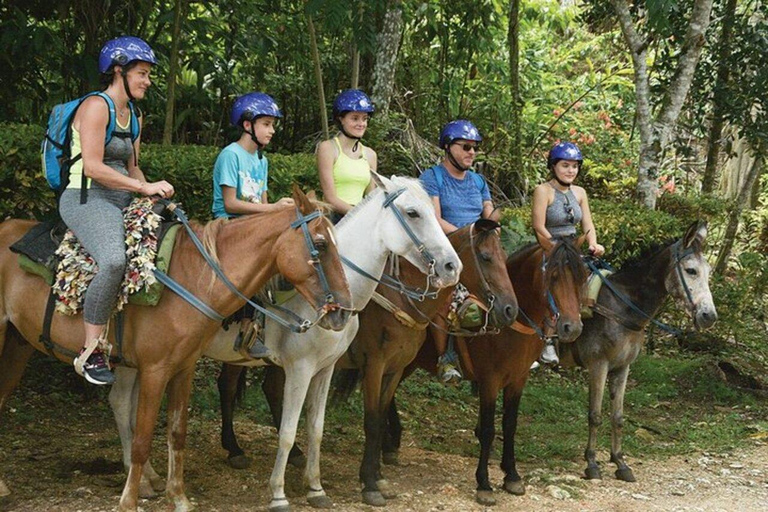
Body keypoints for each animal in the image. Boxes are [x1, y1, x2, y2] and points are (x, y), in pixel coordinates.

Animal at [0, 186, 352, 510]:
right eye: (321, 245)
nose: (343, 312)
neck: (195, 277)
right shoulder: (155, 371)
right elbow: (143, 439)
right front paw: (128, 501)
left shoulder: (184, 368)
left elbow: (177, 432)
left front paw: (178, 497)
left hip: (18, 346)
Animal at [107, 175, 456, 508]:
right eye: (413, 213)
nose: (452, 266)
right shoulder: (306, 368)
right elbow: (292, 431)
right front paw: (281, 493)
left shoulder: (328, 369)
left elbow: (317, 428)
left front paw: (316, 488)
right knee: (132, 403)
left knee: (125, 401)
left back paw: (153, 476)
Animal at [388, 238, 584, 506]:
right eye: (553, 276)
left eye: (580, 277)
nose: (572, 327)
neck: (509, 327)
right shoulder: (489, 381)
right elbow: (490, 430)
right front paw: (484, 484)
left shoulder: (518, 380)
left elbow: (510, 425)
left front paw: (511, 475)